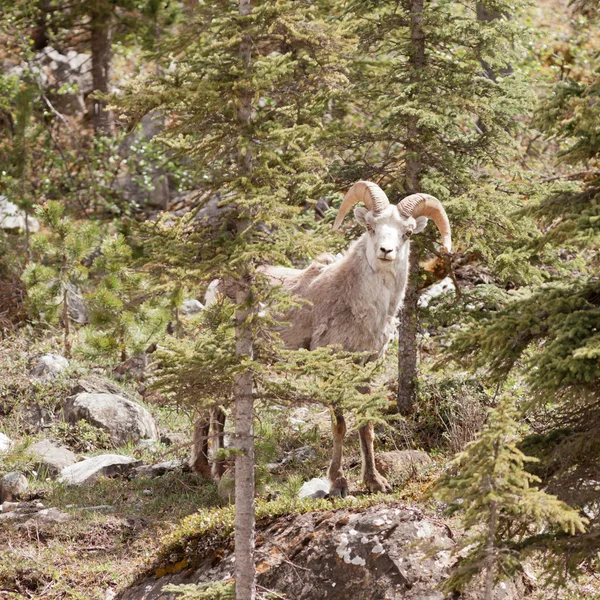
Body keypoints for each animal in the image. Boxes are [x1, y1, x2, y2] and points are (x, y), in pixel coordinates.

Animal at [192, 182, 450, 492]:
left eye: (408, 232)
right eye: (371, 227)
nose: (386, 251)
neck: (358, 303)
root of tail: (215, 288)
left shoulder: (363, 369)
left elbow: (365, 425)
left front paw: (375, 481)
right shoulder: (331, 369)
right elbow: (339, 424)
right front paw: (338, 482)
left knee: (217, 410)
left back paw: (212, 470)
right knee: (209, 406)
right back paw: (210, 471)